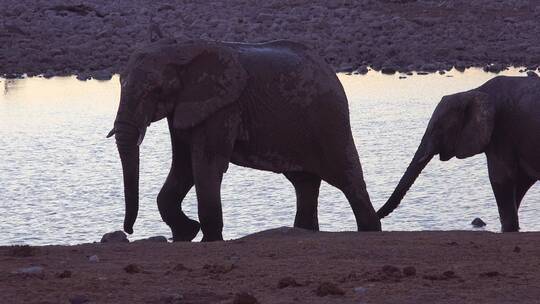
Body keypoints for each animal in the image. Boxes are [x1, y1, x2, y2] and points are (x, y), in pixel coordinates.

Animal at [107, 39, 382, 241]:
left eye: (154, 90)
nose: (129, 230)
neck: (179, 49)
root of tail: (329, 71)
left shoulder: (223, 106)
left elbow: (205, 164)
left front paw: (208, 239)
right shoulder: (187, 106)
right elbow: (184, 165)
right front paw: (187, 233)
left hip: (329, 120)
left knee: (348, 178)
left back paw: (371, 231)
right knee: (305, 183)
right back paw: (304, 231)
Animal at [376, 75, 540, 232]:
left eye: (438, 128)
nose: (377, 216)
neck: (471, 92)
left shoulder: (501, 133)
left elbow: (501, 179)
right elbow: (521, 183)